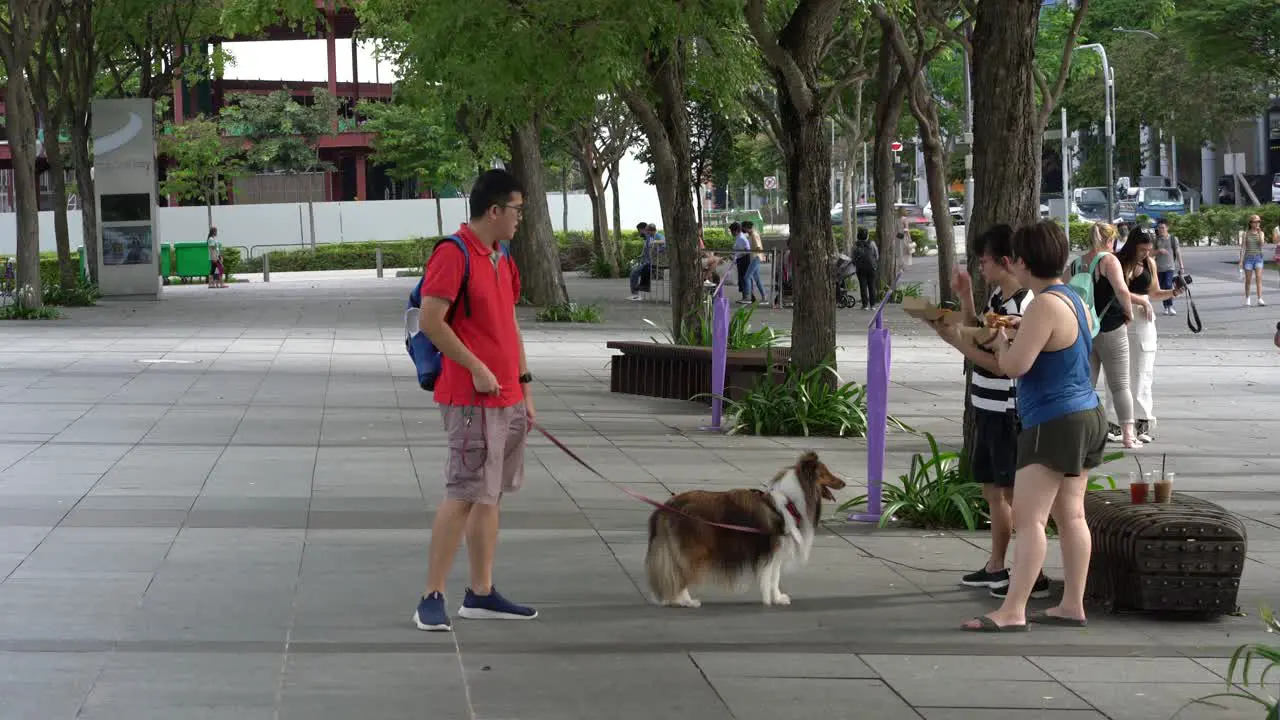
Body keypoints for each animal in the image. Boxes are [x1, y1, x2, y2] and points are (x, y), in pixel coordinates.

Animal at [645, 448, 844, 604]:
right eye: (826, 473)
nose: (844, 483)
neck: (790, 501)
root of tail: (667, 506)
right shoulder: (773, 549)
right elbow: (772, 577)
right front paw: (774, 599)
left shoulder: (776, 551)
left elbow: (775, 576)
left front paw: (776, 598)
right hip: (695, 549)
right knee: (681, 575)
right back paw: (686, 601)